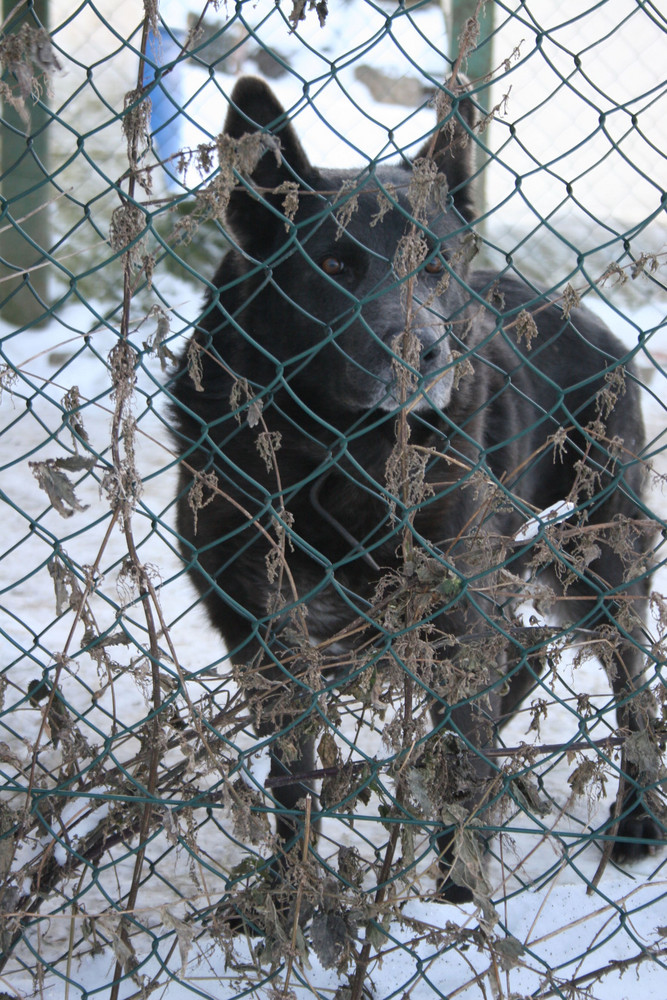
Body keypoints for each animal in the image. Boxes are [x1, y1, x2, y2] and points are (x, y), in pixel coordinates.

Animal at [170, 78, 660, 904]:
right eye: (335, 264)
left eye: (432, 267)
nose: (422, 354)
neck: (335, 450)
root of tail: (586, 317)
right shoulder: (264, 631)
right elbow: (293, 778)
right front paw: (286, 899)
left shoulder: (451, 602)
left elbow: (467, 755)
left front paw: (458, 898)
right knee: (522, 654)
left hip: (596, 563)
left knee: (632, 689)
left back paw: (635, 823)